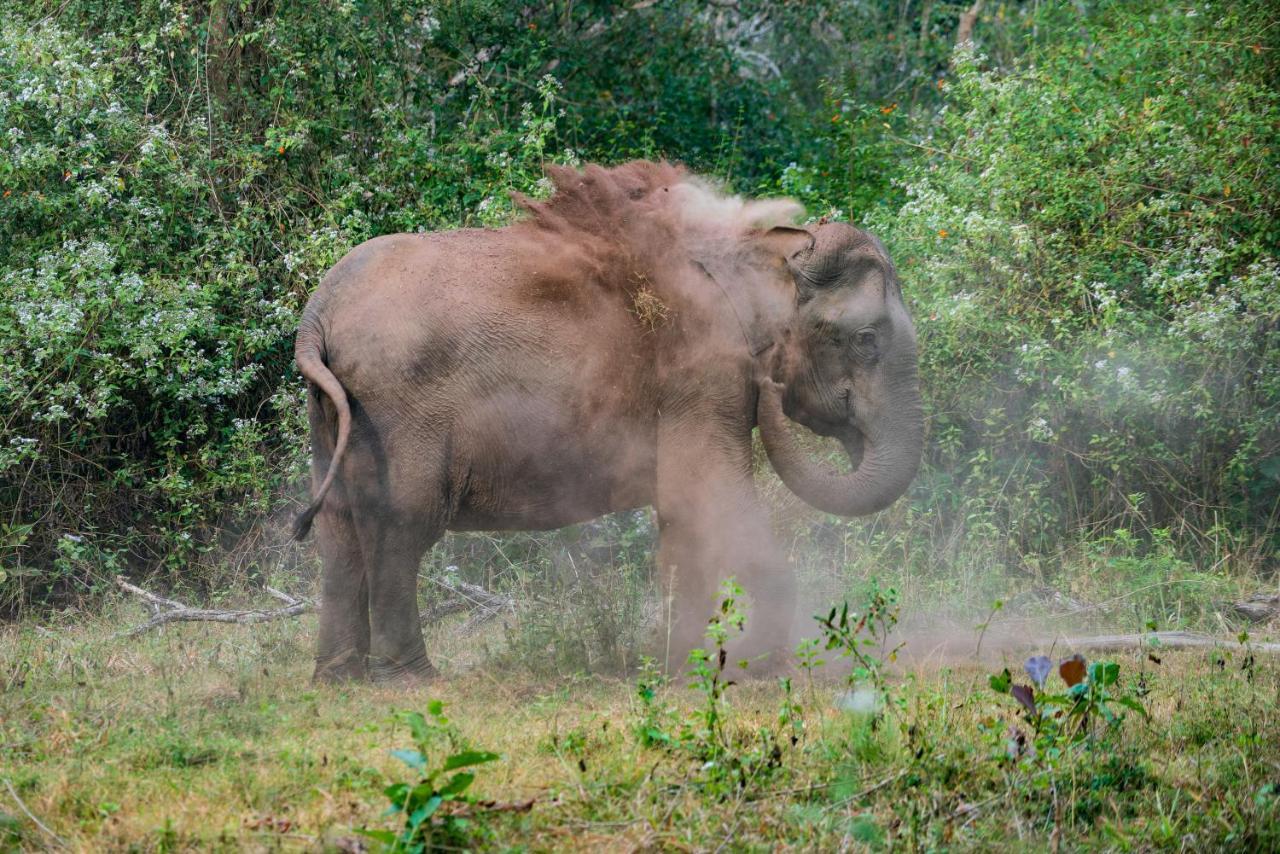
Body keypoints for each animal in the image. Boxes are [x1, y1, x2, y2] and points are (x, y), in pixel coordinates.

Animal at [294, 158, 926, 681]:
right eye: (867, 340)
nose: (771, 385)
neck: (758, 244)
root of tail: (316, 316)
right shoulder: (705, 370)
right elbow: (713, 497)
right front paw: (748, 664)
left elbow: (682, 514)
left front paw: (681, 661)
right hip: (401, 410)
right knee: (401, 525)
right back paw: (412, 678)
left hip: (336, 413)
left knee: (337, 529)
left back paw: (338, 676)